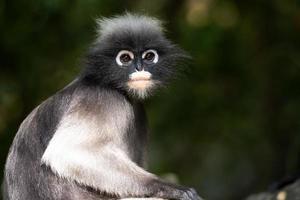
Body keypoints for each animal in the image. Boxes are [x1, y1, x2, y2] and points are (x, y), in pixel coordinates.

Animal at [2, 13, 203, 199]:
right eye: (125, 58)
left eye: (149, 56)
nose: (139, 68)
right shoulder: (102, 99)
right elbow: (68, 151)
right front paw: (170, 187)